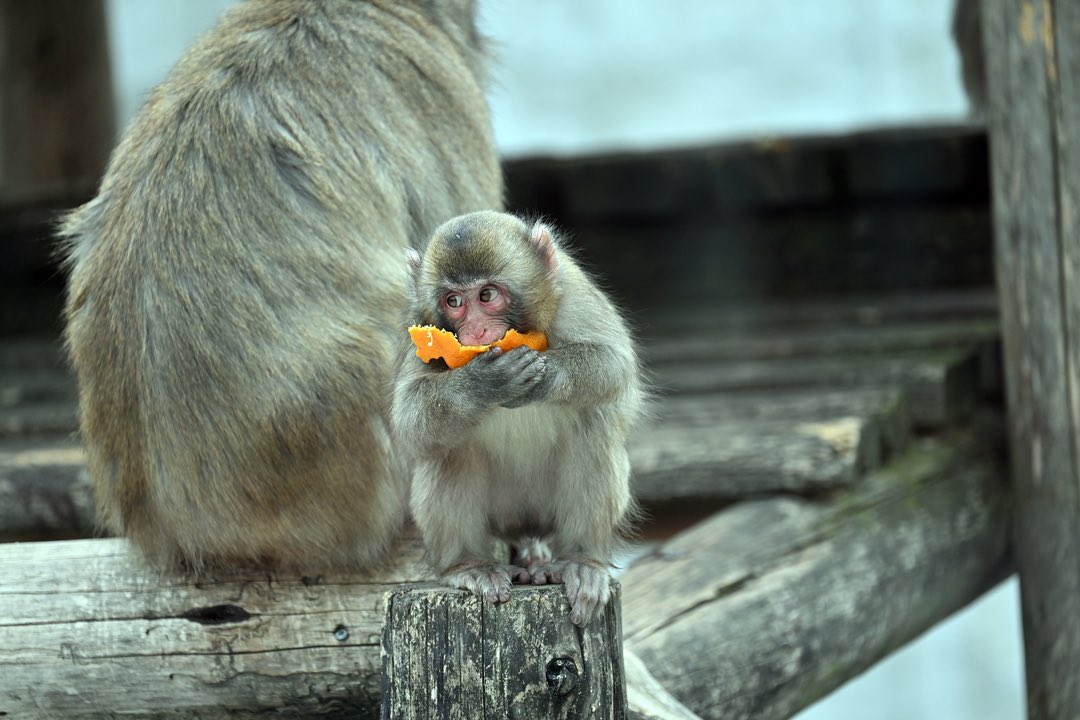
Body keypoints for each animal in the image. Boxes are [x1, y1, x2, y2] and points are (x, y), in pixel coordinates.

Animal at [391, 211, 644, 627]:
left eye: (487, 295)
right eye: (454, 301)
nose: (476, 330)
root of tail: (523, 524)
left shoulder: (571, 291)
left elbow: (614, 365)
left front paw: (546, 376)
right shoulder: (417, 325)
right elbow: (409, 419)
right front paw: (484, 383)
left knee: (592, 427)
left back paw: (581, 560)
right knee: (449, 451)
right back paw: (468, 565)